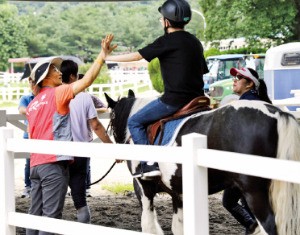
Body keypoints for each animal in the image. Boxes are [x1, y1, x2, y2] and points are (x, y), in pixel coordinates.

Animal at [105, 90, 300, 235]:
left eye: (112, 119)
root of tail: (278, 113)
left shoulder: (143, 188)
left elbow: (149, 225)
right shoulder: (178, 192)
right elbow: (179, 227)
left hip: (254, 192)